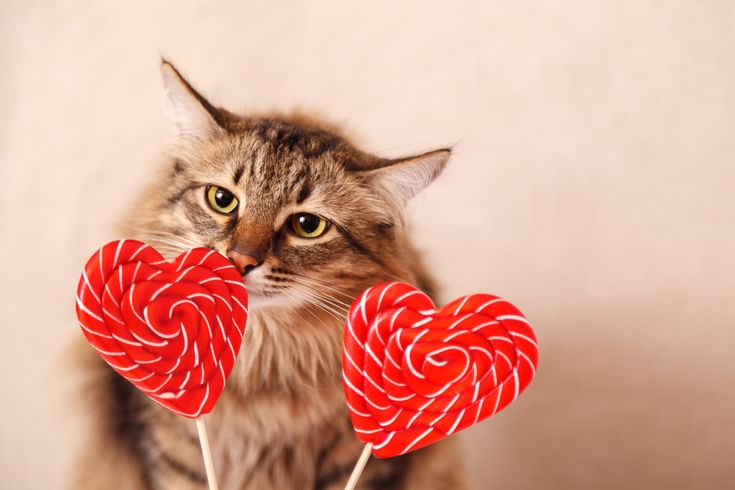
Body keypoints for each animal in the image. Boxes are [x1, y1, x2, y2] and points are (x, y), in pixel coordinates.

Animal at [72, 61, 468, 490]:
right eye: (221, 199)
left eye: (308, 225)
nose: (240, 259)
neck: (257, 365)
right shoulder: (170, 445)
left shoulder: (356, 460)